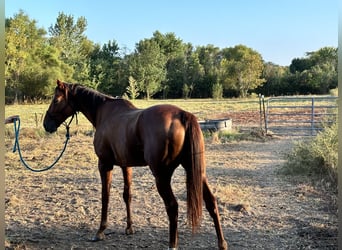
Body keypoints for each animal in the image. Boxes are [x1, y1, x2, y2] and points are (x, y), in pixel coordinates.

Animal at [43, 80, 227, 250]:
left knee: (172, 206)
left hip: (162, 177)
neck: (104, 113)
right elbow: (127, 195)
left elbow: (105, 196)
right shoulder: (126, 166)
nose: (46, 124)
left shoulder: (104, 164)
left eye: (56, 100)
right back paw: (222, 243)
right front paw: (129, 228)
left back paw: (172, 244)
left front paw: (100, 231)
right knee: (211, 203)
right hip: (196, 172)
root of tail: (182, 114)